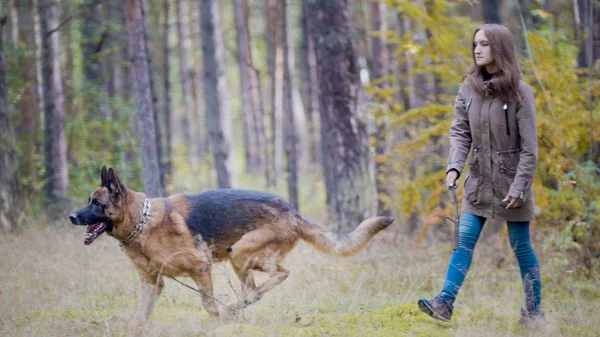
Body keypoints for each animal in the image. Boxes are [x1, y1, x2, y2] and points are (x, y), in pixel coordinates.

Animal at [68, 165, 394, 334]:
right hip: (241, 260)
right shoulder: (152, 284)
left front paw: (219, 323)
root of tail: (293, 212)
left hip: (241, 252)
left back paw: (234, 310)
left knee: (279, 275)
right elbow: (140, 317)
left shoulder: (200, 268)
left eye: (96, 203)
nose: (71, 216)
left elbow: (208, 305)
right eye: (88, 201)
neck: (142, 221)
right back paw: (238, 310)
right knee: (252, 292)